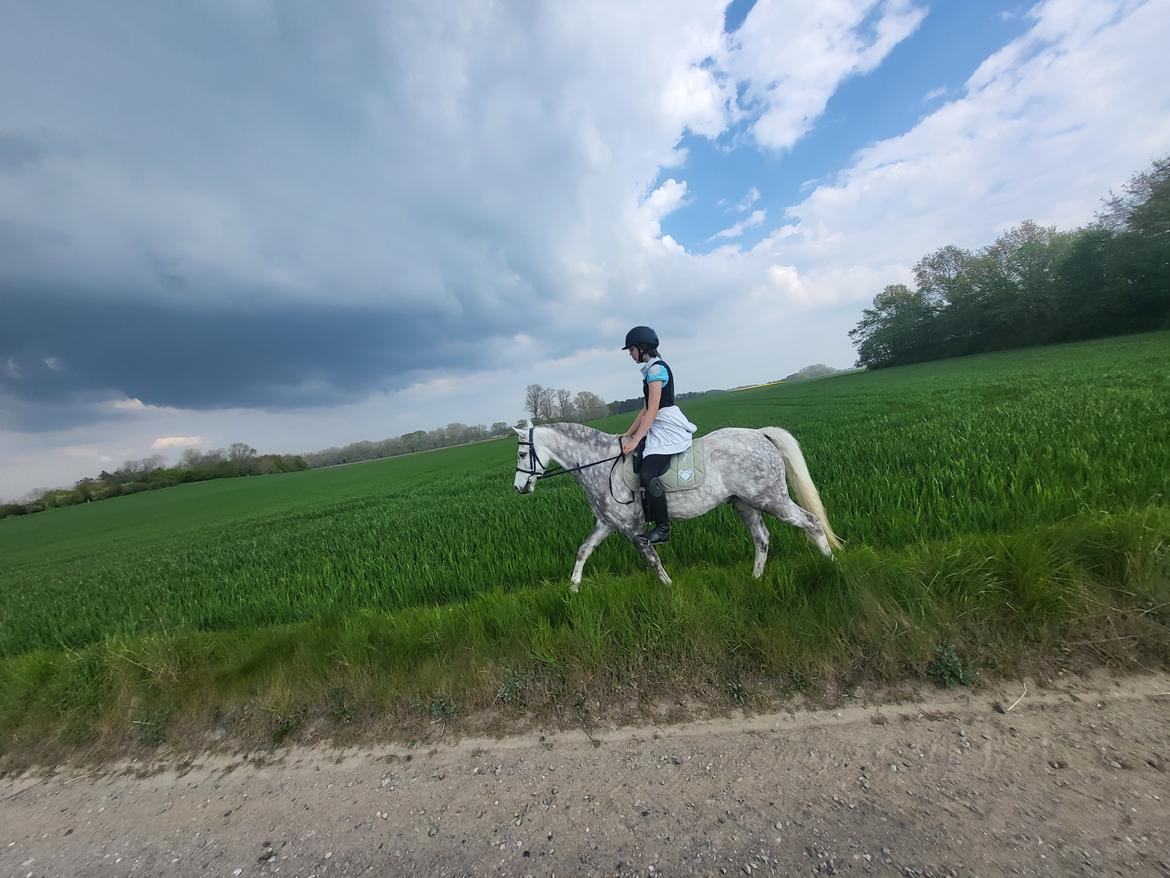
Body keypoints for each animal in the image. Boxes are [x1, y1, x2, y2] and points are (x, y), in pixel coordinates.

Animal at [512, 421, 841, 591]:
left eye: (521, 453)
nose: (519, 488)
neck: (602, 464)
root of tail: (760, 434)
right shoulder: (606, 524)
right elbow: (583, 551)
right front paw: (573, 588)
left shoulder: (632, 529)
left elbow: (652, 560)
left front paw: (669, 589)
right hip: (745, 504)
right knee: (762, 539)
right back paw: (755, 580)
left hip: (771, 499)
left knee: (811, 522)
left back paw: (832, 566)